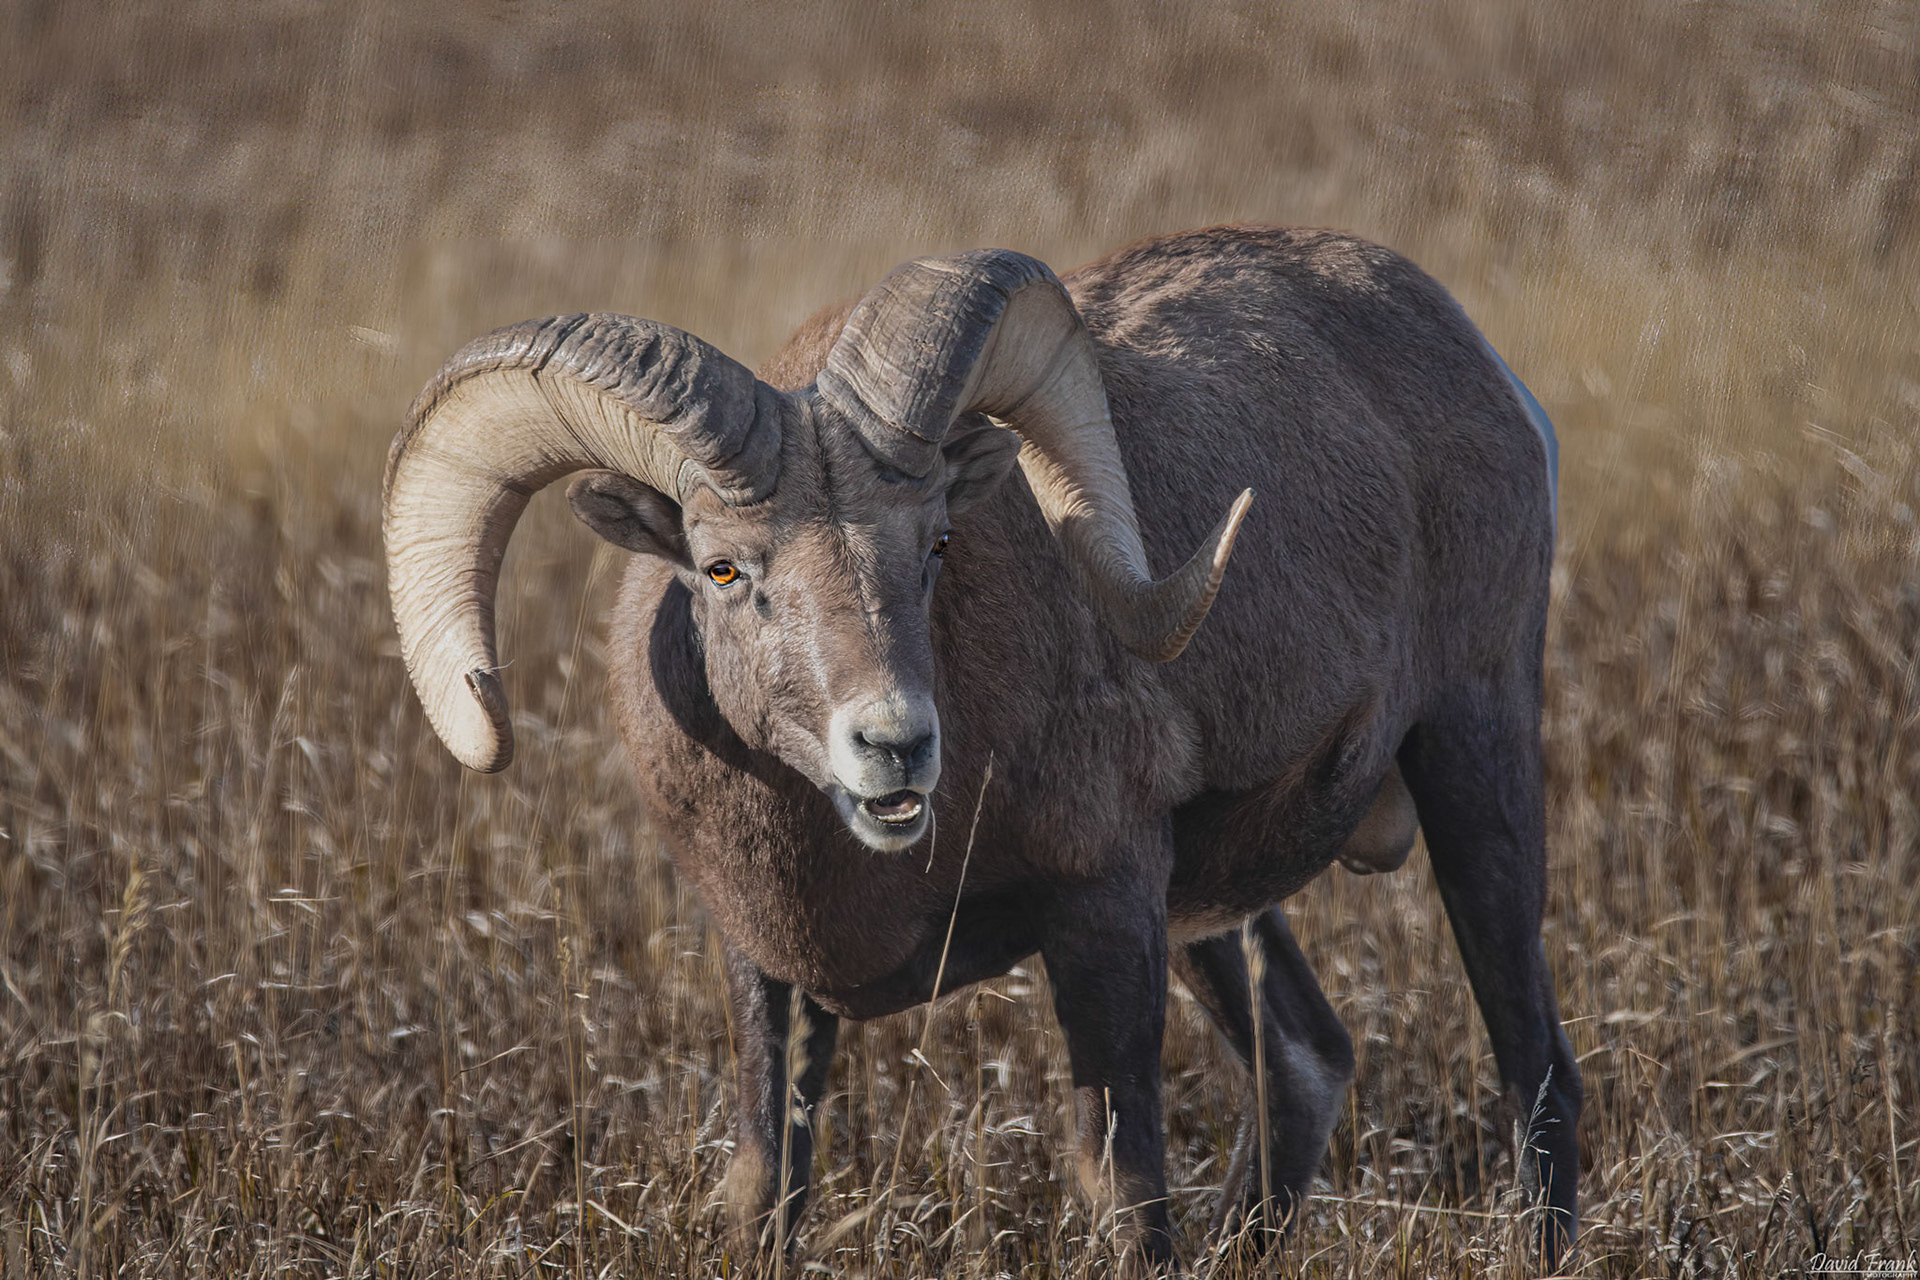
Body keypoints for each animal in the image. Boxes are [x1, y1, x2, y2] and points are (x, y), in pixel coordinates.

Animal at [383, 224, 1582, 1267]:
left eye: (936, 543)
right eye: (723, 567)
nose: (894, 745)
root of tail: (1482, 366)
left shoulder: (1102, 912)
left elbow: (1125, 1192)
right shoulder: (765, 968)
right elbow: (769, 1186)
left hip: (1471, 755)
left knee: (1537, 1070)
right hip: (1222, 912)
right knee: (1307, 1063)